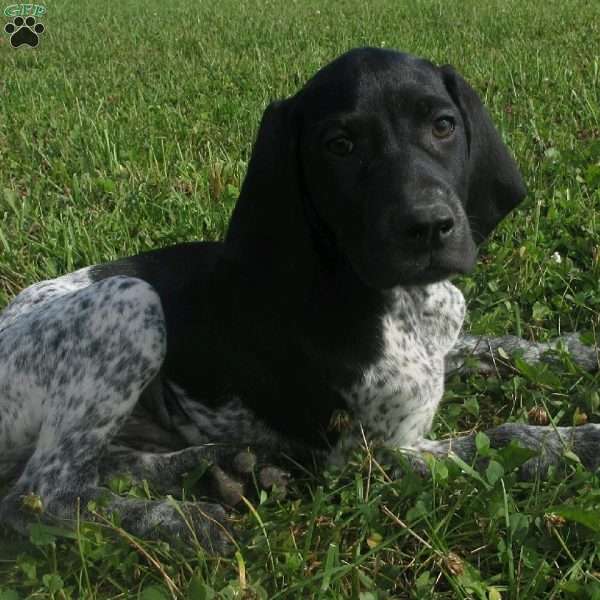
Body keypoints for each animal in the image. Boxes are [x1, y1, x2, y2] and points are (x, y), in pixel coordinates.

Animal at [1, 49, 600, 552]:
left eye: (443, 125)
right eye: (340, 145)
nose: (430, 226)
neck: (399, 302)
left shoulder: (443, 347)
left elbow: (508, 345)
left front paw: (579, 353)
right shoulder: (368, 457)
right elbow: (504, 438)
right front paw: (581, 441)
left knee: (107, 464)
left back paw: (224, 465)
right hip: (131, 300)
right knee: (40, 495)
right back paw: (179, 520)